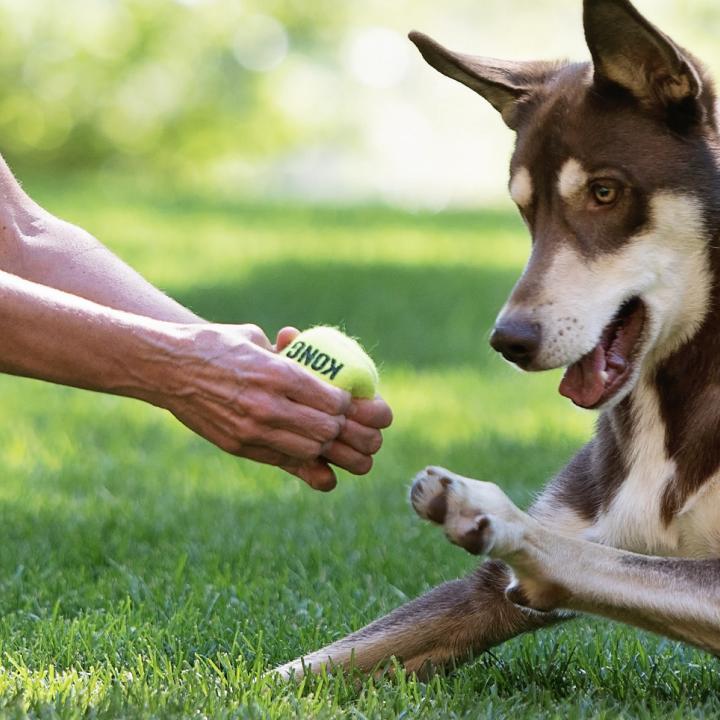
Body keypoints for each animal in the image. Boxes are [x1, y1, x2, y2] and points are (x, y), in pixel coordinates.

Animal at [278, 0, 720, 676]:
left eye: (605, 191)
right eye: (524, 210)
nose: (509, 340)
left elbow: (600, 559)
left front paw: (499, 520)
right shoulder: (484, 590)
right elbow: (321, 661)